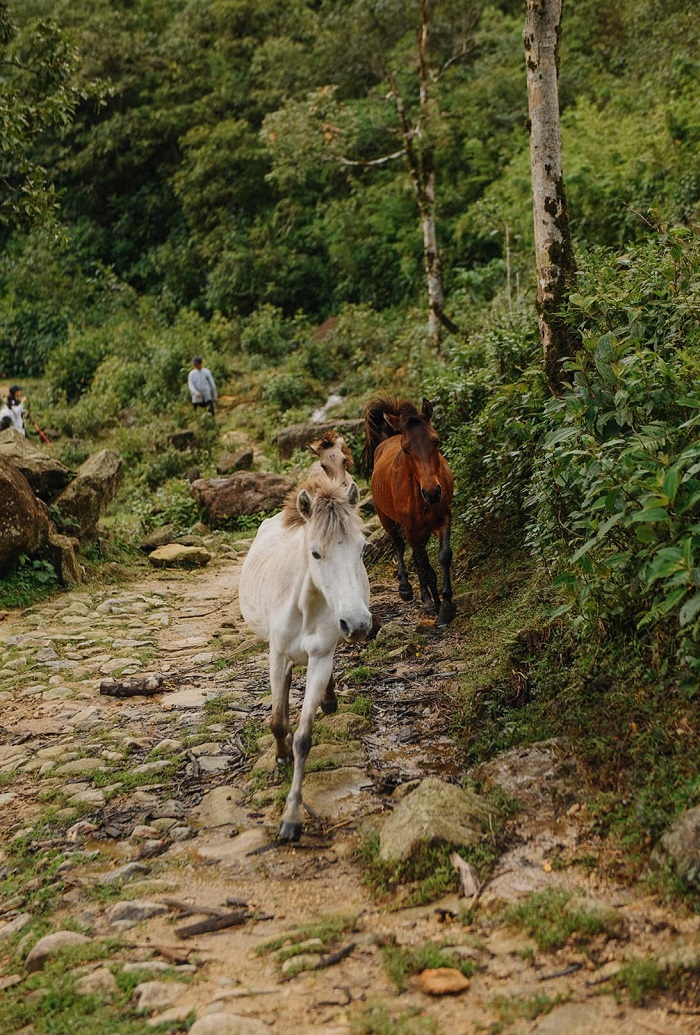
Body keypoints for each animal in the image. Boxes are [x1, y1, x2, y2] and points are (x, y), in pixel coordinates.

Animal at [239, 474, 372, 840]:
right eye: (316, 553)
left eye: (361, 548)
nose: (358, 624)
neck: (305, 606)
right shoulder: (277, 656)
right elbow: (278, 720)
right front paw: (280, 758)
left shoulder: (321, 659)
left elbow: (302, 737)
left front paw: (291, 817)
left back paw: (329, 699)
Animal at [364, 395, 455, 621]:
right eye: (406, 448)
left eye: (436, 441)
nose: (432, 492)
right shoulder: (411, 529)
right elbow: (423, 564)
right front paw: (432, 602)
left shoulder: (443, 518)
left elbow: (443, 555)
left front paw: (446, 604)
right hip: (387, 519)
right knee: (399, 545)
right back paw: (407, 588)